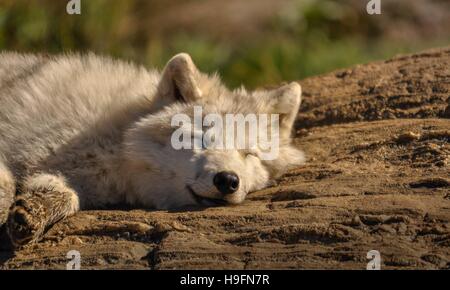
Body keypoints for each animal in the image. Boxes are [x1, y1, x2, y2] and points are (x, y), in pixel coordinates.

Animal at [0, 52, 306, 247]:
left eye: (249, 154)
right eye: (200, 139)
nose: (228, 180)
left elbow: (66, 195)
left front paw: (31, 211)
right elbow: (8, 184)